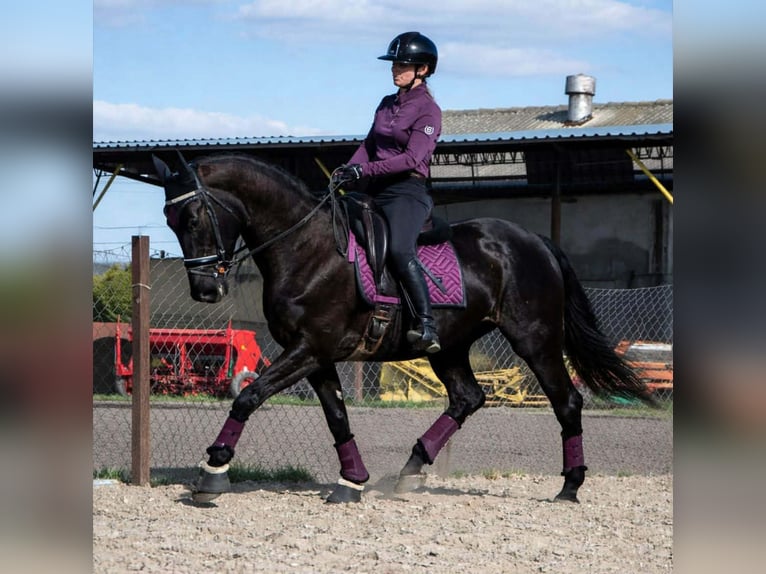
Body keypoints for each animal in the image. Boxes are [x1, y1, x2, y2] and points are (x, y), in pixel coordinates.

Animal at [152, 152, 654, 505]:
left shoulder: (309, 348)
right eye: (169, 221)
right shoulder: (316, 355)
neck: (307, 248)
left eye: (192, 217)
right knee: (467, 398)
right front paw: (352, 482)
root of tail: (535, 240)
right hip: (448, 347)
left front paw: (212, 473)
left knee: (566, 401)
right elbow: (337, 417)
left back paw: (569, 486)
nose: (205, 291)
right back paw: (410, 470)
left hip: (536, 339)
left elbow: (248, 396)